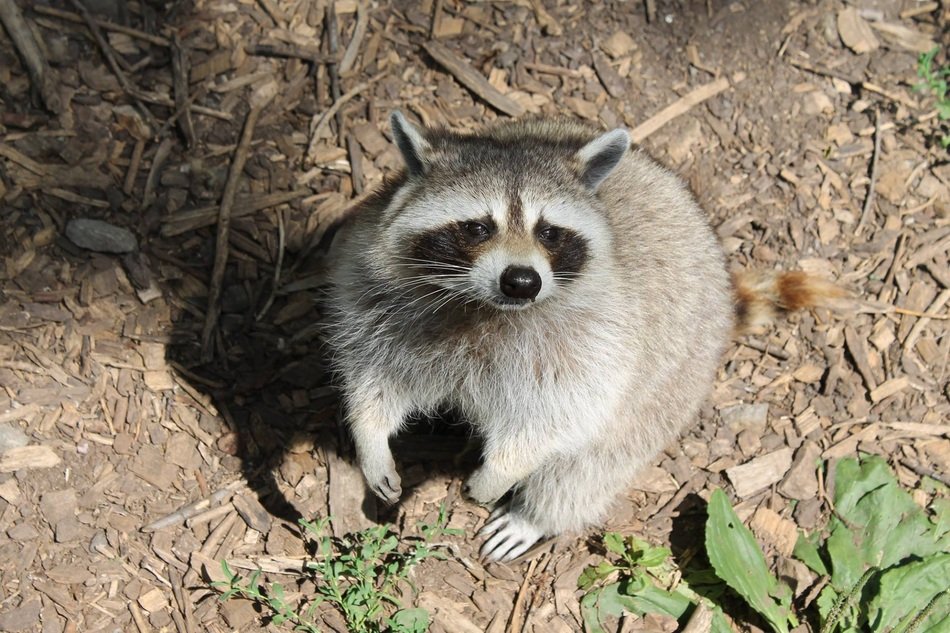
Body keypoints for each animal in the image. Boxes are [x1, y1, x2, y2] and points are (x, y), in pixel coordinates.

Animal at [326, 113, 824, 562]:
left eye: (549, 232)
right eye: (477, 227)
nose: (522, 281)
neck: (483, 308)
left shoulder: (600, 338)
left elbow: (562, 417)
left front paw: (503, 472)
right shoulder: (379, 301)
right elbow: (373, 376)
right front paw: (370, 438)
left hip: (677, 379)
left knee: (595, 460)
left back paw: (535, 515)